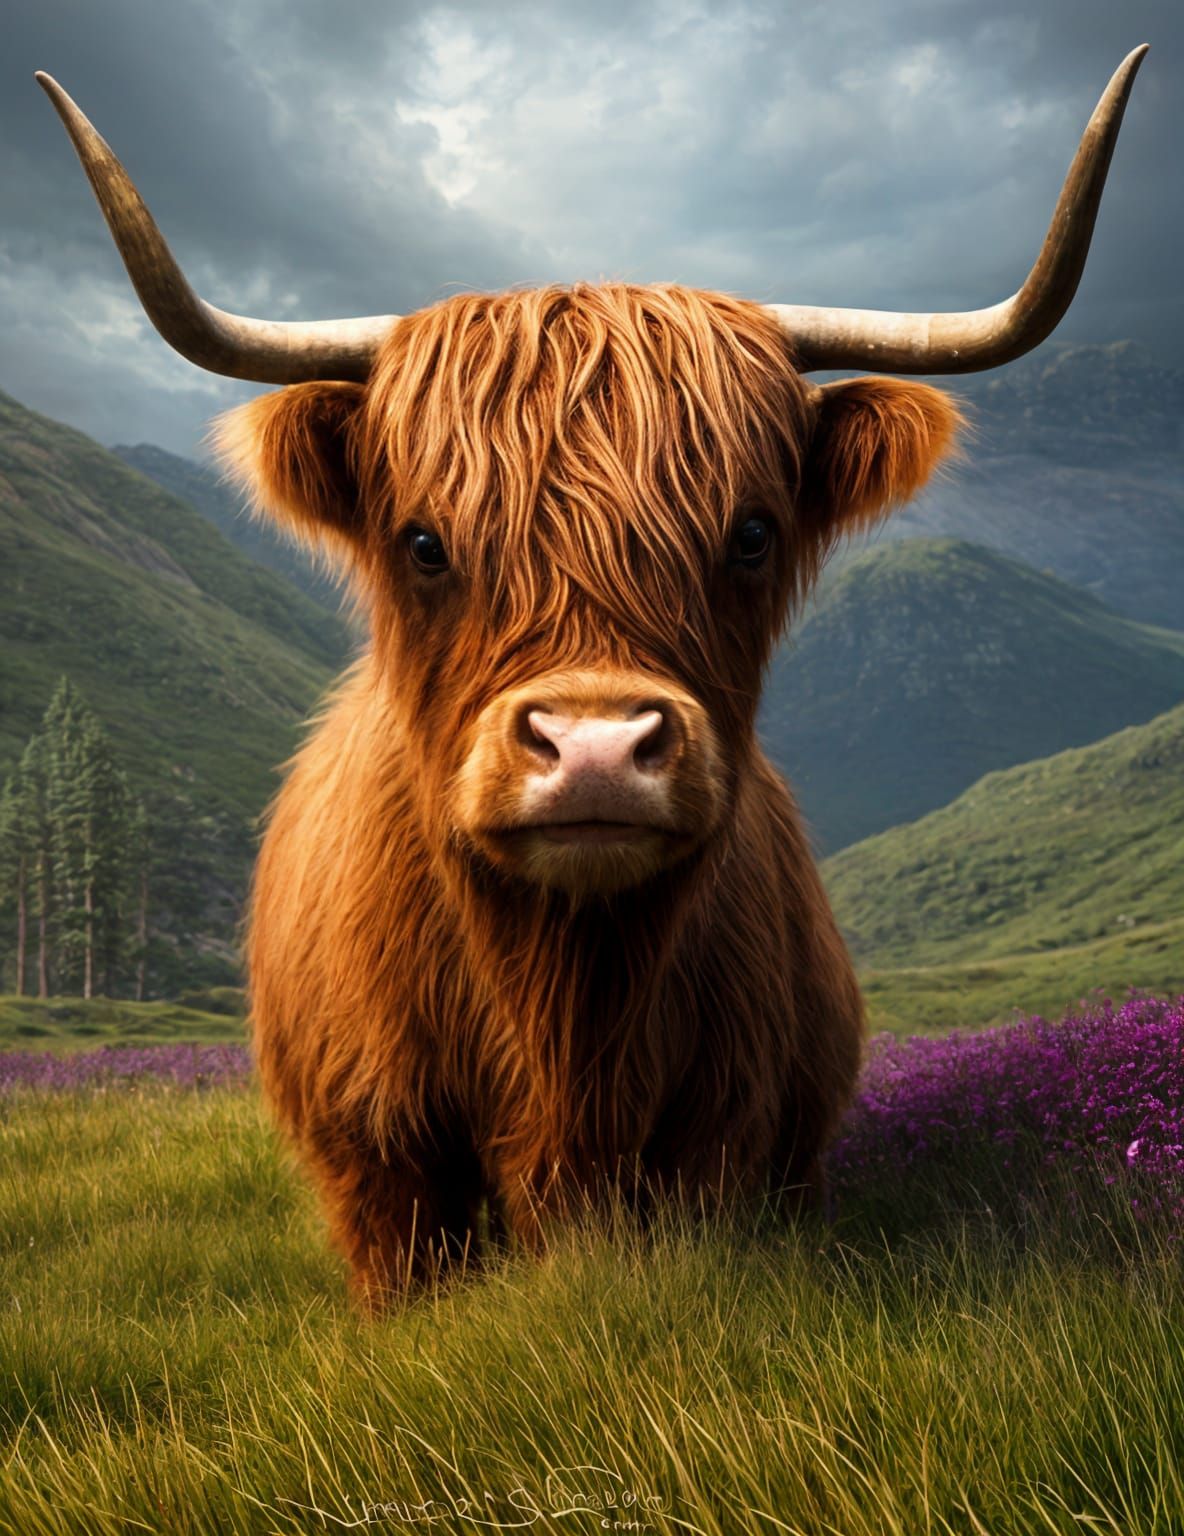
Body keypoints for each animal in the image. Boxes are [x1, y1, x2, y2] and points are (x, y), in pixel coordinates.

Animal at [38, 47, 1146, 1307]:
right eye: (423, 543)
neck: (563, 1013)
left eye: (750, 535)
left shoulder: (730, 1138)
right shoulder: (374, 1160)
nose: (595, 751)